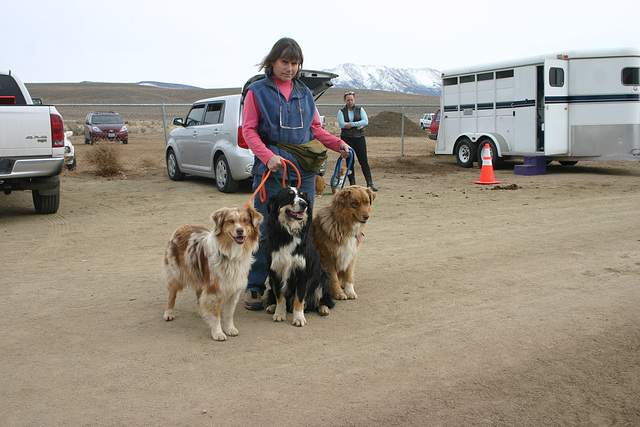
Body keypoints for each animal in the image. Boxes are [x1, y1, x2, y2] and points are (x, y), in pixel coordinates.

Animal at [162, 206, 262, 342]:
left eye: (245, 220)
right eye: (230, 221)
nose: (240, 230)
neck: (232, 253)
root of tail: (182, 227)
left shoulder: (234, 289)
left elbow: (229, 314)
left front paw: (230, 329)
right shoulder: (214, 289)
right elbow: (216, 315)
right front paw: (217, 333)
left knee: (199, 296)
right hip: (175, 274)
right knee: (172, 294)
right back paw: (168, 313)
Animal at [264, 187, 336, 328]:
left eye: (303, 196)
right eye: (289, 196)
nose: (304, 204)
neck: (289, 233)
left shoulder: (303, 272)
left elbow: (299, 298)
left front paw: (298, 318)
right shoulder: (276, 271)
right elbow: (280, 296)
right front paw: (279, 314)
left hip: (323, 278)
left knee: (323, 300)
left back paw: (323, 308)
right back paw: (272, 306)